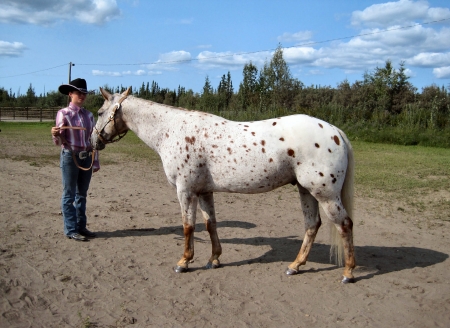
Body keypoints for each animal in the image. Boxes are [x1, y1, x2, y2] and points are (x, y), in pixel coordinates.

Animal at [91, 87, 356, 284]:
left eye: (100, 111)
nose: (94, 140)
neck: (171, 130)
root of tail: (335, 132)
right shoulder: (204, 191)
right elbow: (210, 225)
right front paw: (214, 259)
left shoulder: (185, 191)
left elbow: (188, 226)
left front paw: (184, 262)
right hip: (306, 190)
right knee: (312, 225)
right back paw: (295, 265)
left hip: (325, 194)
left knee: (344, 225)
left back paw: (348, 273)